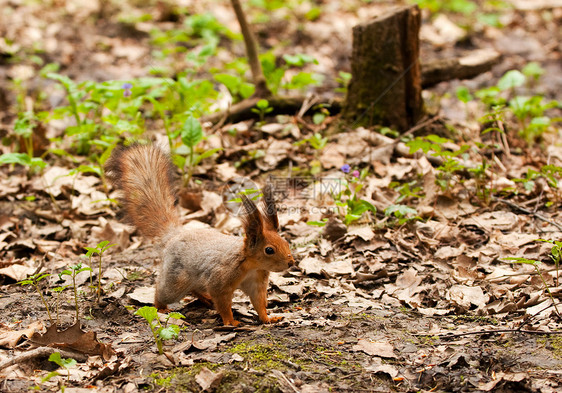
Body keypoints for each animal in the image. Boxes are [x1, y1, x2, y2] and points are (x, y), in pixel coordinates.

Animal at [104, 144, 294, 324]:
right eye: (269, 250)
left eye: (286, 243)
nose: (291, 263)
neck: (251, 265)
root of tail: (173, 236)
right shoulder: (220, 279)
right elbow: (222, 302)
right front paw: (230, 321)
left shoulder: (256, 282)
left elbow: (259, 303)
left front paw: (268, 318)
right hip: (175, 280)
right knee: (163, 291)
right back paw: (162, 307)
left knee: (195, 288)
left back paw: (204, 298)